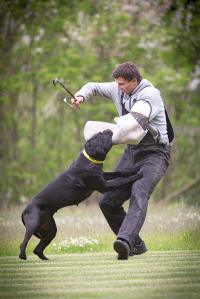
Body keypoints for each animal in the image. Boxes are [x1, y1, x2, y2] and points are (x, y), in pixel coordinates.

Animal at [18, 130, 141, 262]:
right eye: (101, 136)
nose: (106, 130)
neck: (90, 159)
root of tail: (24, 210)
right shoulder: (104, 186)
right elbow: (122, 180)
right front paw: (136, 175)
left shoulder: (104, 176)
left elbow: (119, 173)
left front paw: (132, 171)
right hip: (33, 223)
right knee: (23, 242)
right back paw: (23, 256)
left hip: (50, 230)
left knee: (37, 249)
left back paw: (45, 259)